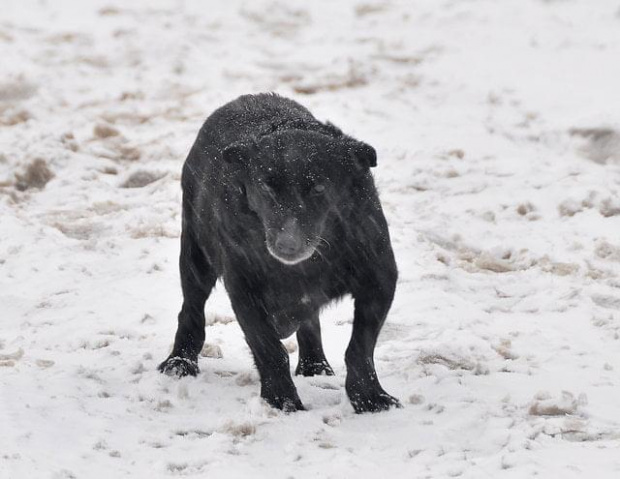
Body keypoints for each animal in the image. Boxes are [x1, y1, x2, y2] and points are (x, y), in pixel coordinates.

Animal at [160, 94, 400, 412]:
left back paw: (314, 365)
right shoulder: (245, 290)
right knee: (191, 311)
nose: (288, 244)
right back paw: (180, 361)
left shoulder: (379, 280)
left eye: (319, 188)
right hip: (195, 258)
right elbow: (270, 350)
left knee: (310, 322)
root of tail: (245, 98)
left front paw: (370, 398)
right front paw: (282, 399)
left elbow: (360, 348)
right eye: (266, 186)